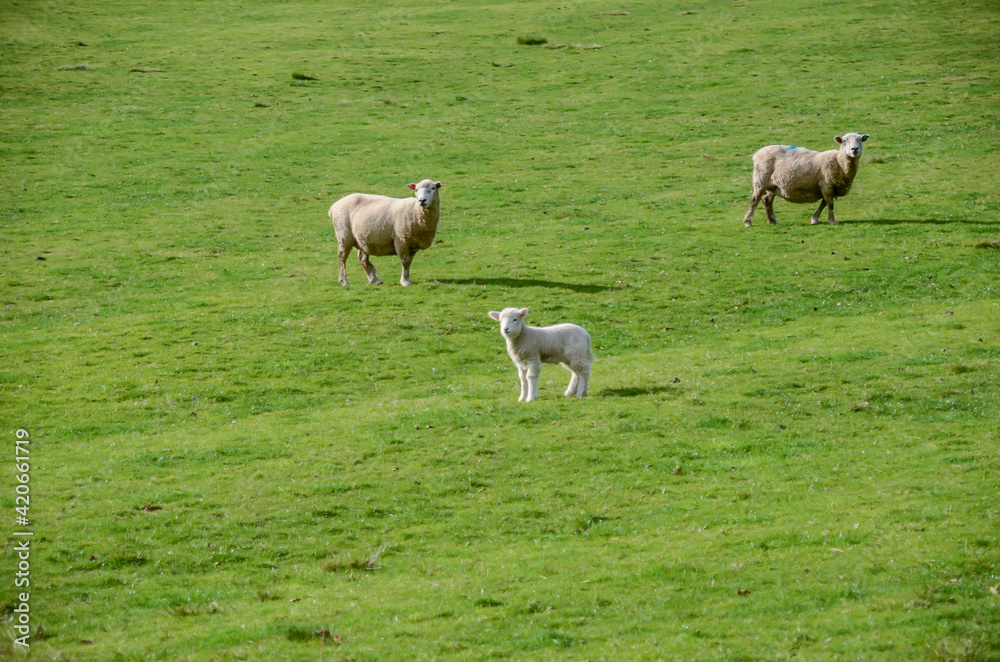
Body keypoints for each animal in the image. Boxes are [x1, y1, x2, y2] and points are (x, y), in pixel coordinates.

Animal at [740, 133, 872, 228]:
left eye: (860, 139)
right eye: (844, 141)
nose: (854, 149)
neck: (839, 163)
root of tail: (756, 154)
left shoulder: (828, 188)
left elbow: (824, 203)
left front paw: (814, 219)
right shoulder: (827, 185)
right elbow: (830, 204)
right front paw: (832, 221)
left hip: (773, 185)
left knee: (767, 201)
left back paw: (772, 221)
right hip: (760, 181)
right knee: (754, 200)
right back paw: (748, 222)